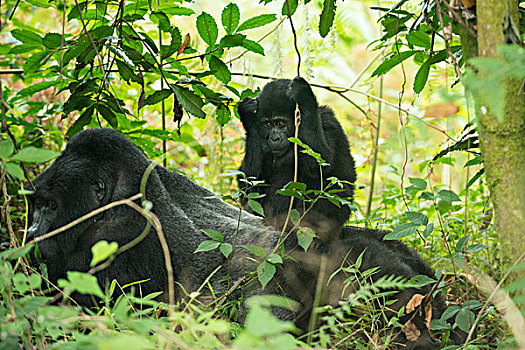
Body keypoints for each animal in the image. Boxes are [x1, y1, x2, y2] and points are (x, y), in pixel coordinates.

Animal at [237, 76, 356, 241]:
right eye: (268, 124)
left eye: (281, 123)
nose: (274, 138)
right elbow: (248, 183)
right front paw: (248, 116)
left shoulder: (328, 121)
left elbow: (321, 165)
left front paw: (305, 96)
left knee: (335, 189)